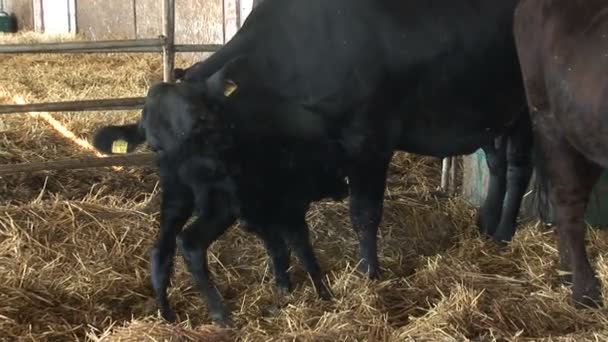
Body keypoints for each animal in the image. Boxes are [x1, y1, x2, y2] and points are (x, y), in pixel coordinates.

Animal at [91, 81, 346, 324]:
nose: (343, 190)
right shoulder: (288, 208)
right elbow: (302, 248)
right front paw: (324, 293)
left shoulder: (261, 212)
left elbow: (278, 248)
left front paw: (285, 288)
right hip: (220, 203)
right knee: (190, 242)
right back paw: (221, 314)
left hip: (177, 196)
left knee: (161, 249)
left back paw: (167, 313)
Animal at [171, 0, 532, 278]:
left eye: (205, 133)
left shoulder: (369, 140)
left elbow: (364, 212)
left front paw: (369, 273)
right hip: (490, 113)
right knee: (497, 165)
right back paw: (487, 221)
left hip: (525, 109)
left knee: (519, 169)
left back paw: (504, 232)